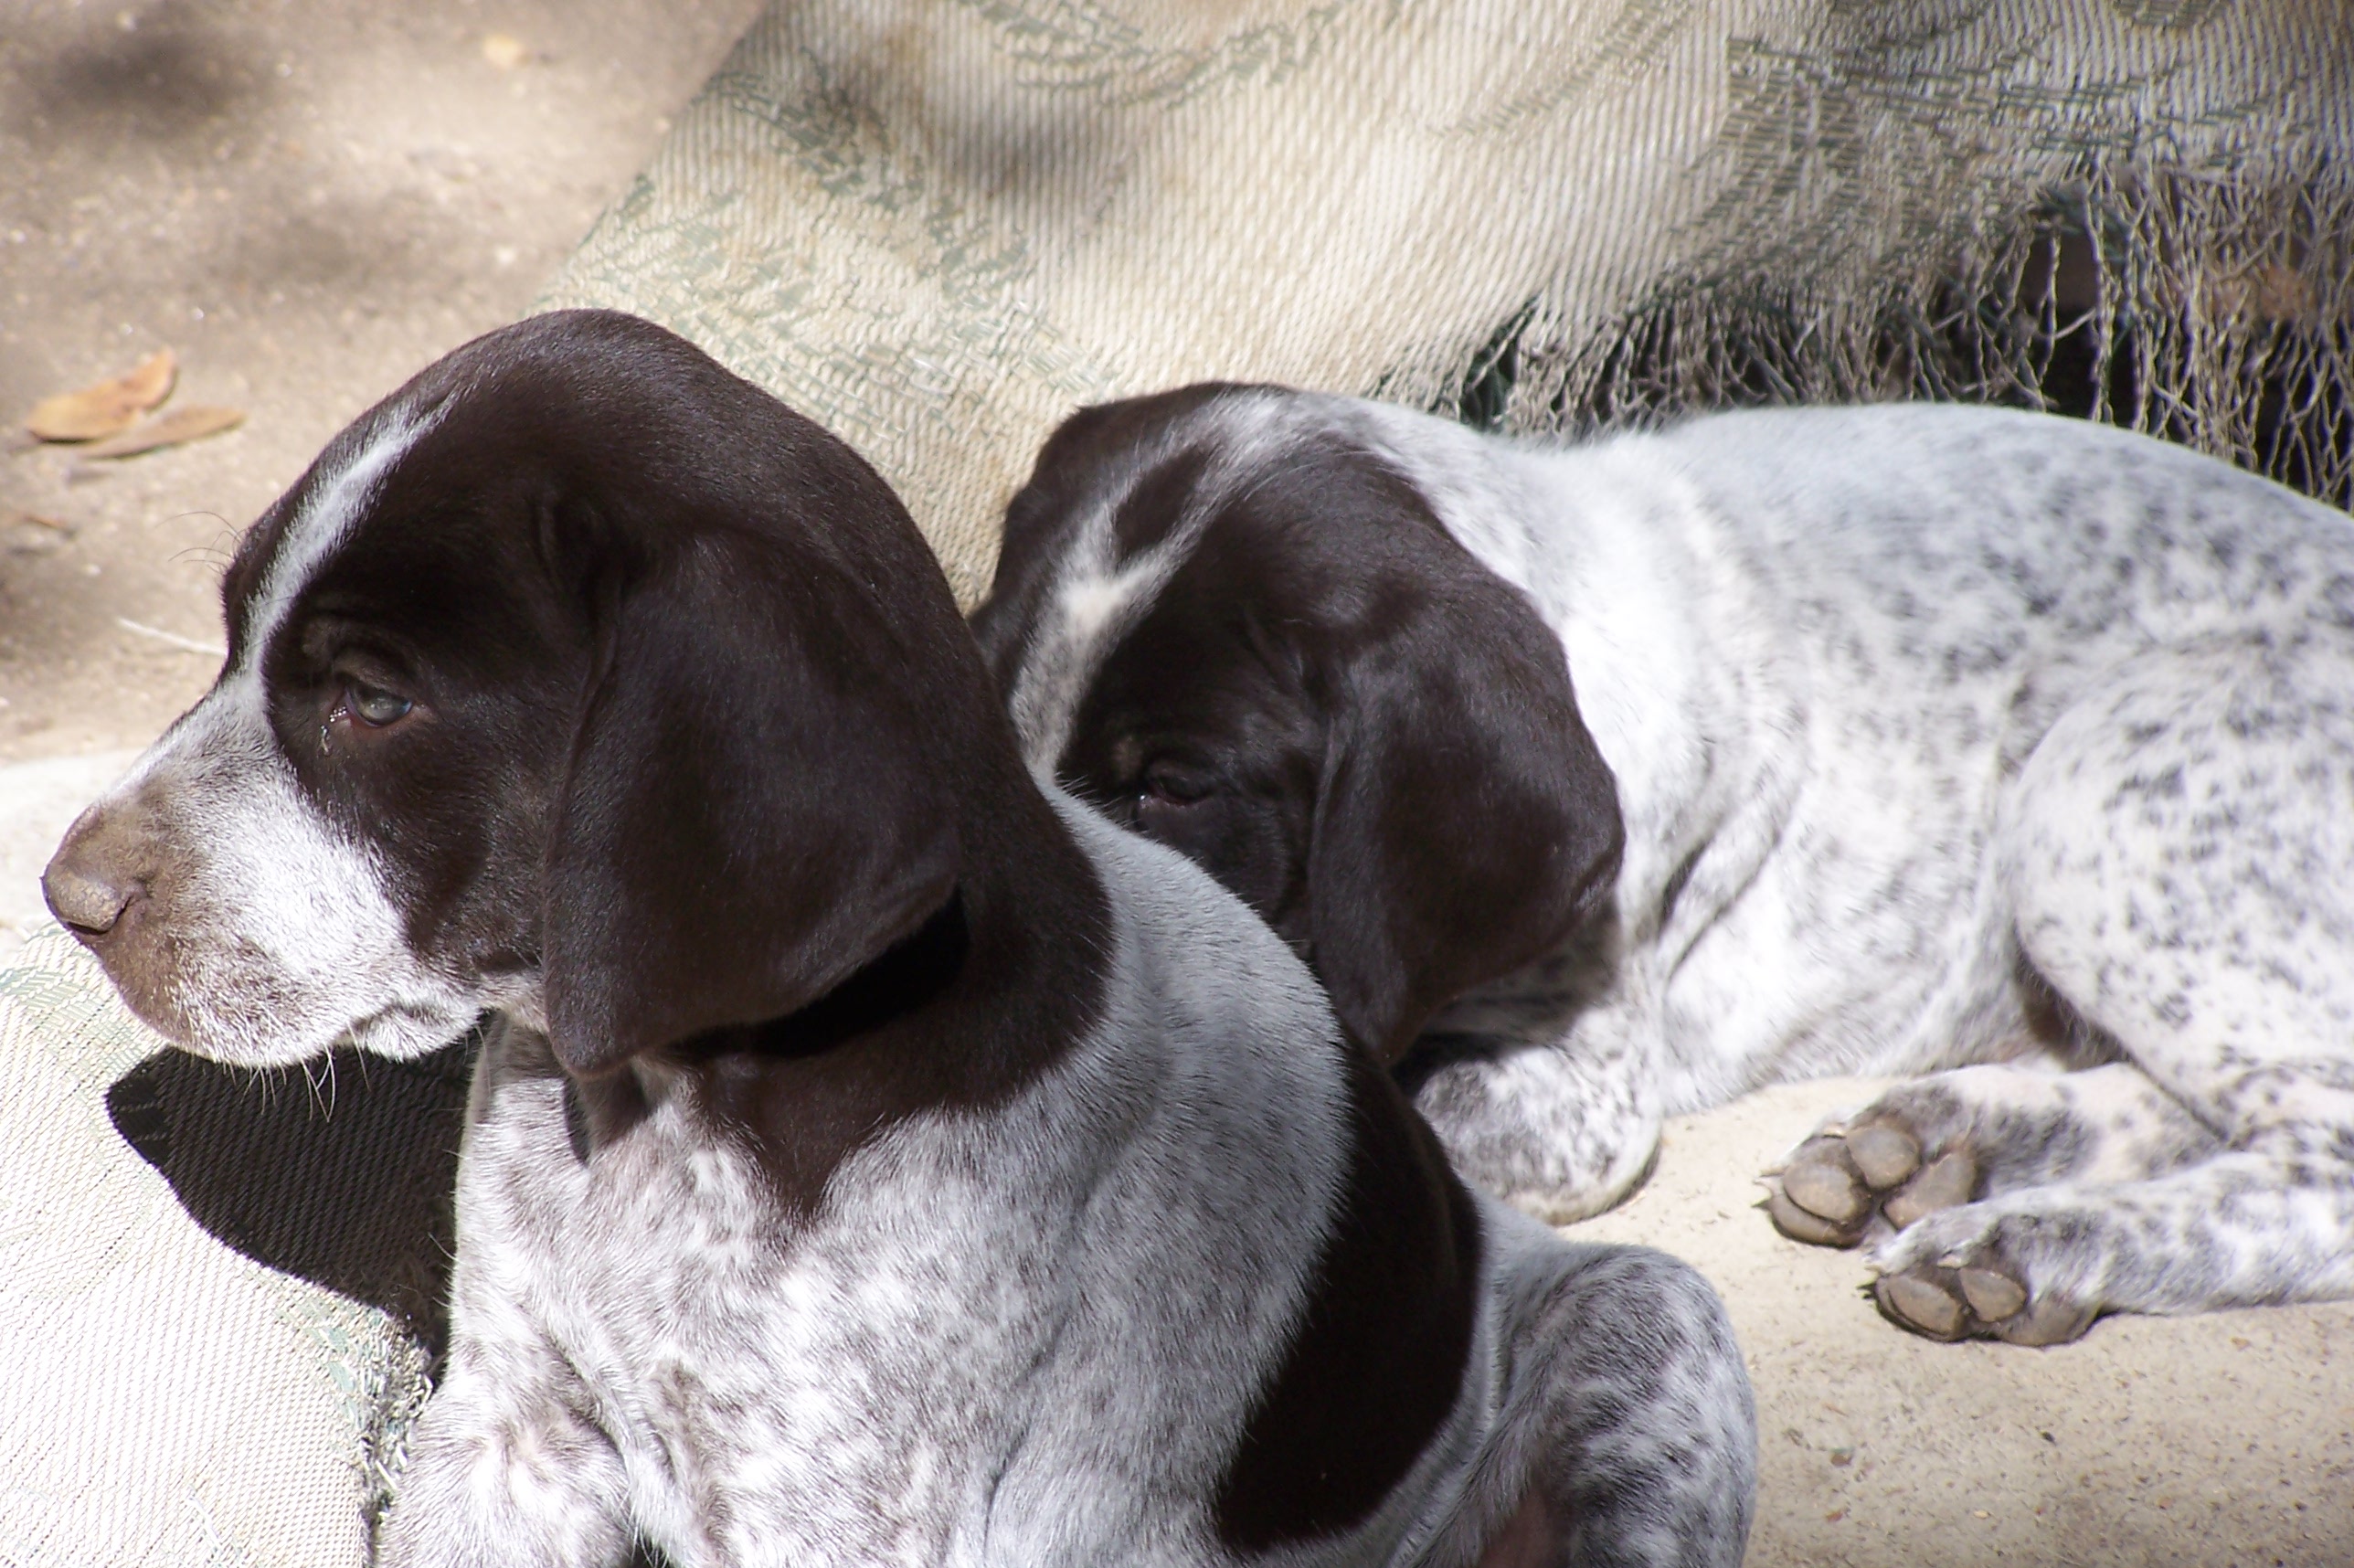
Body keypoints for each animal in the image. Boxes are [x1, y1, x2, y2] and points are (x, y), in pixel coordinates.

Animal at [41, 314, 1754, 1566]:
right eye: (239, 634)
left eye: (370, 699)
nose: (69, 899)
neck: (684, 1113)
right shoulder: (513, 1436)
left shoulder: (830, 1530)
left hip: (1640, 1329)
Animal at [972, 382, 2354, 1347]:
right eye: (988, 687)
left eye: (1172, 785)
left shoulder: (1570, 1102)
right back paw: (1937, 1148)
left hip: (2095, 781)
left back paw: (2035, 1240)